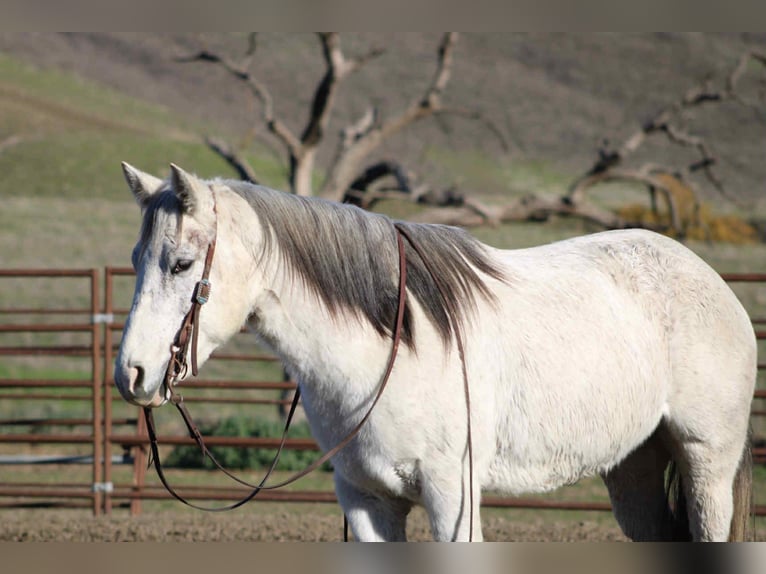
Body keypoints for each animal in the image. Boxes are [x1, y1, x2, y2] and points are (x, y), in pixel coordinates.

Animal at [114, 162, 756, 542]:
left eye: (182, 264)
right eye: (136, 259)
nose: (132, 373)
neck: (393, 349)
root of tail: (712, 281)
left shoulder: (452, 497)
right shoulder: (366, 501)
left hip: (706, 462)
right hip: (634, 468)